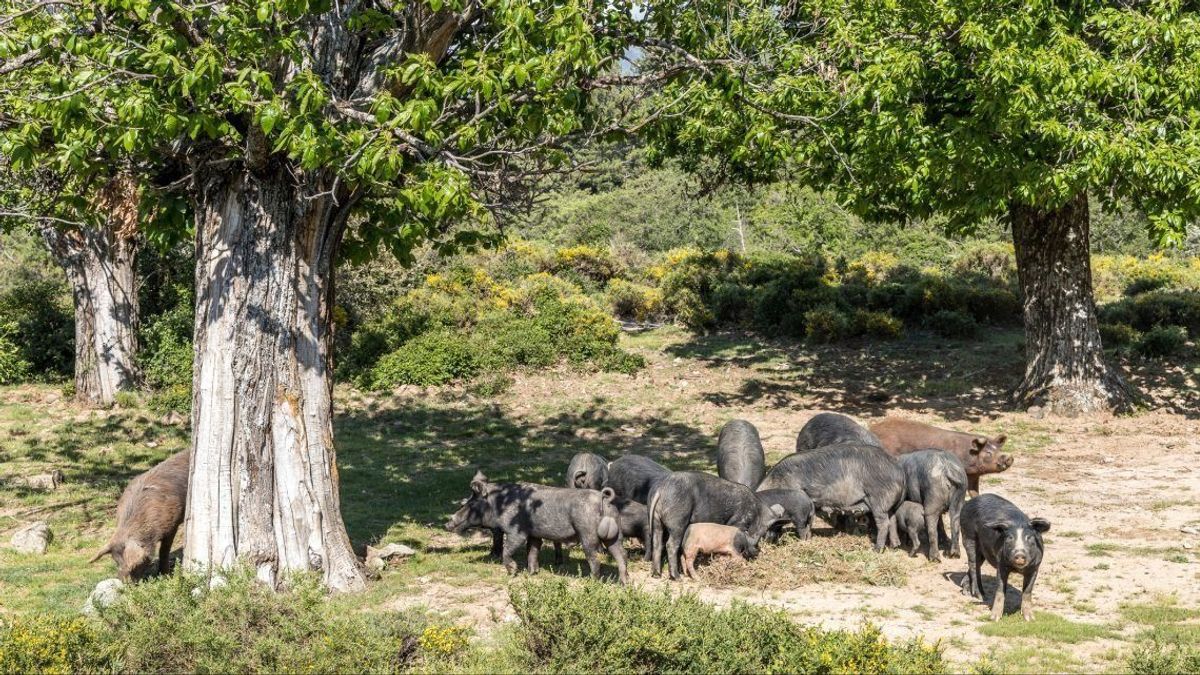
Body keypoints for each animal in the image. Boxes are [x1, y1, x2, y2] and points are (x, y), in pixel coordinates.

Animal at [88, 446, 188, 578]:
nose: (123, 581)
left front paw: (164, 575)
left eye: (136, 565)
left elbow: (164, 550)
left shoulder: (172, 523)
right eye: (116, 562)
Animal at [444, 470, 628, 581]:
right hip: (615, 534)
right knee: (621, 555)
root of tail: (604, 498)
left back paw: (592, 581)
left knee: (594, 558)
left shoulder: (516, 531)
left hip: (587, 532)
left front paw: (512, 573)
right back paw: (625, 583)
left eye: (471, 503)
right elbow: (532, 551)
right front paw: (532, 573)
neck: (500, 504)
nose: (447, 524)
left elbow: (508, 550)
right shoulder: (534, 534)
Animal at [648, 468, 787, 578]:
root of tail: (662, 489)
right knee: (671, 545)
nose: (757, 551)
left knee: (657, 543)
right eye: (765, 531)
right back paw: (677, 577)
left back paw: (656, 574)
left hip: (656, 520)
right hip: (678, 521)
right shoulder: (738, 521)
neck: (757, 512)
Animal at [758, 441, 902, 547]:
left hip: (879, 499)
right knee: (893, 520)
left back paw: (876, 549)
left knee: (884, 523)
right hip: (889, 505)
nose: (766, 541)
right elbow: (809, 524)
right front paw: (809, 538)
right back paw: (894, 546)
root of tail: (898, 470)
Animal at [868, 415, 1008, 494]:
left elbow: (974, 493)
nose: (1008, 458)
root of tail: (872, 428)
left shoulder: (973, 476)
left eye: (998, 450)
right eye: (988, 453)